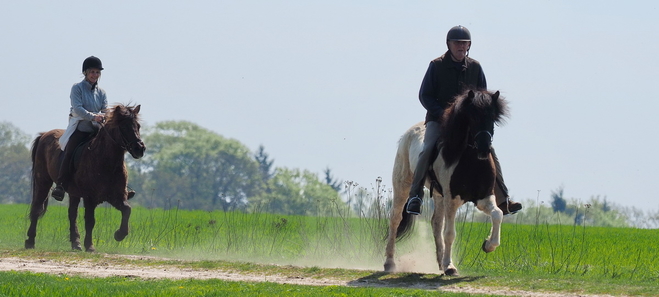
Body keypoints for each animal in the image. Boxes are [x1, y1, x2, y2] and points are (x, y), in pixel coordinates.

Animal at [25, 103, 146, 250]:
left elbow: (127, 210)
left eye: (138, 126)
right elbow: (90, 220)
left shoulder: (116, 196)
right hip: (43, 181)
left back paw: (76, 243)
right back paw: (30, 241)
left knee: (72, 214)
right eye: (123, 127)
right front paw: (90, 245)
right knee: (37, 208)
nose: (139, 149)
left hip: (73, 192)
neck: (106, 161)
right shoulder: (90, 197)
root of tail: (44, 135)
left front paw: (119, 235)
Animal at [384, 90, 508, 276]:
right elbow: (450, 233)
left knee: (436, 223)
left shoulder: (484, 198)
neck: (470, 161)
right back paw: (389, 263)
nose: (484, 148)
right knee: (395, 218)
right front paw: (450, 266)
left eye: (493, 116)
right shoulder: (452, 199)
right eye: (473, 116)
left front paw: (488, 245)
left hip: (438, 194)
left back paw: (440, 262)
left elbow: (497, 214)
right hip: (402, 185)